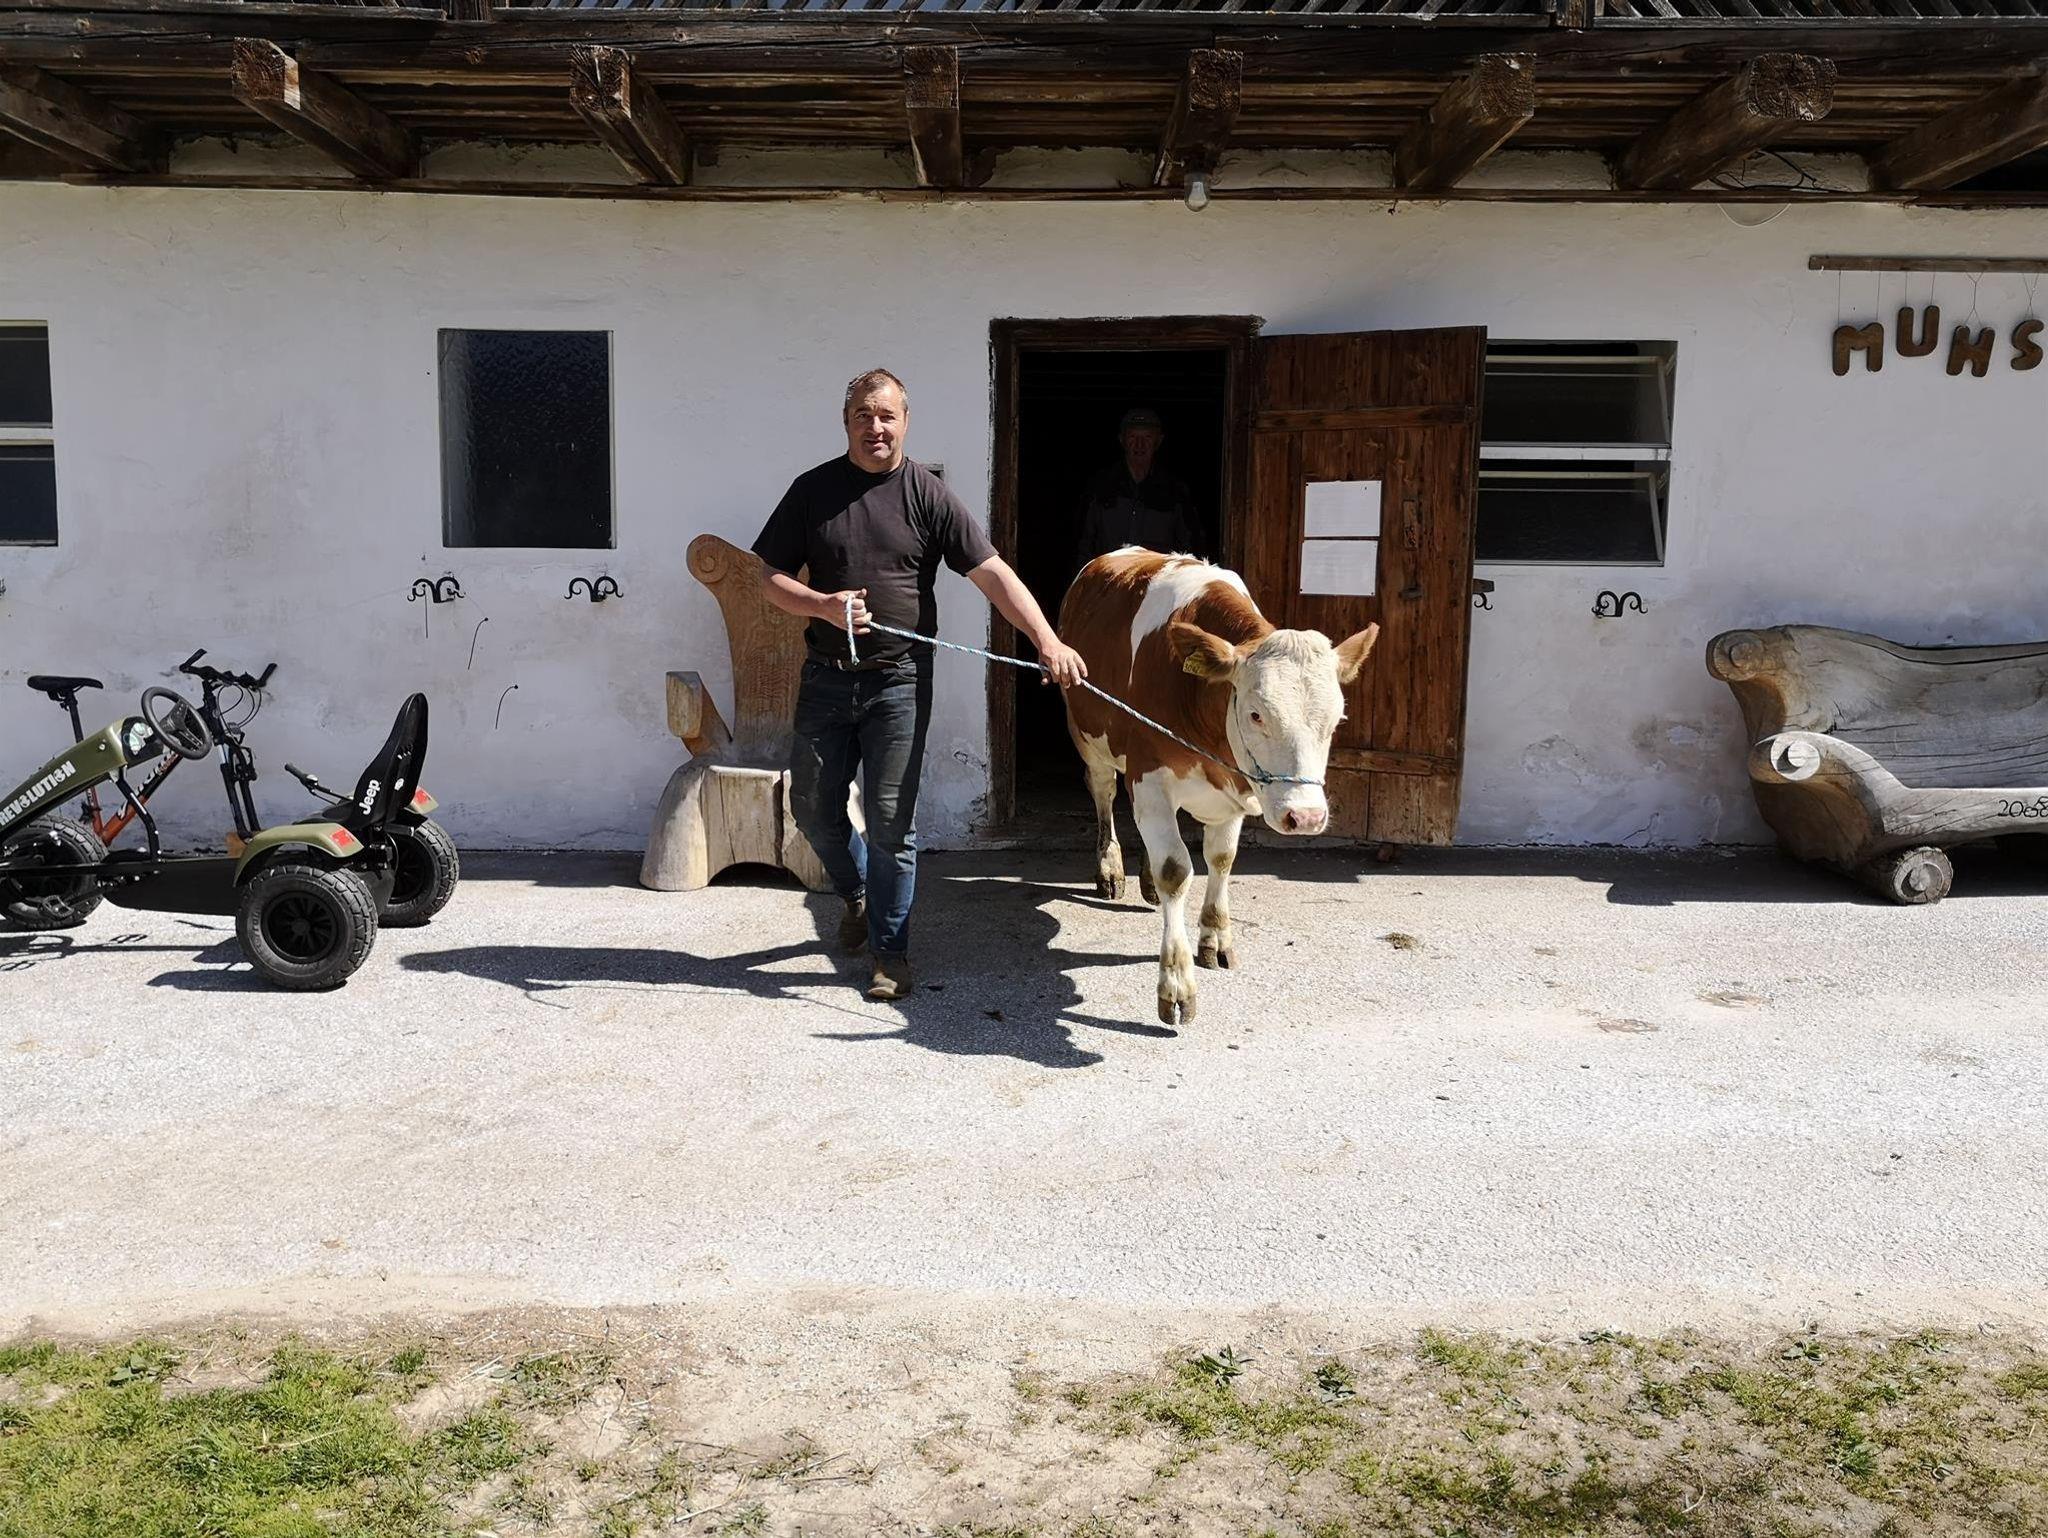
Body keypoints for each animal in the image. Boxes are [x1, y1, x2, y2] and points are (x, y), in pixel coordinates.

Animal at [1058, 548, 1378, 1026]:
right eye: (1256, 714)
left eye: (1337, 719)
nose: (1306, 816)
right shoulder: (1149, 774)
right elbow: (1176, 871)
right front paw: (1176, 985)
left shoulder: (1233, 792)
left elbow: (1221, 860)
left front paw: (1216, 939)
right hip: (1087, 734)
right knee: (1105, 794)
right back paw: (1110, 868)